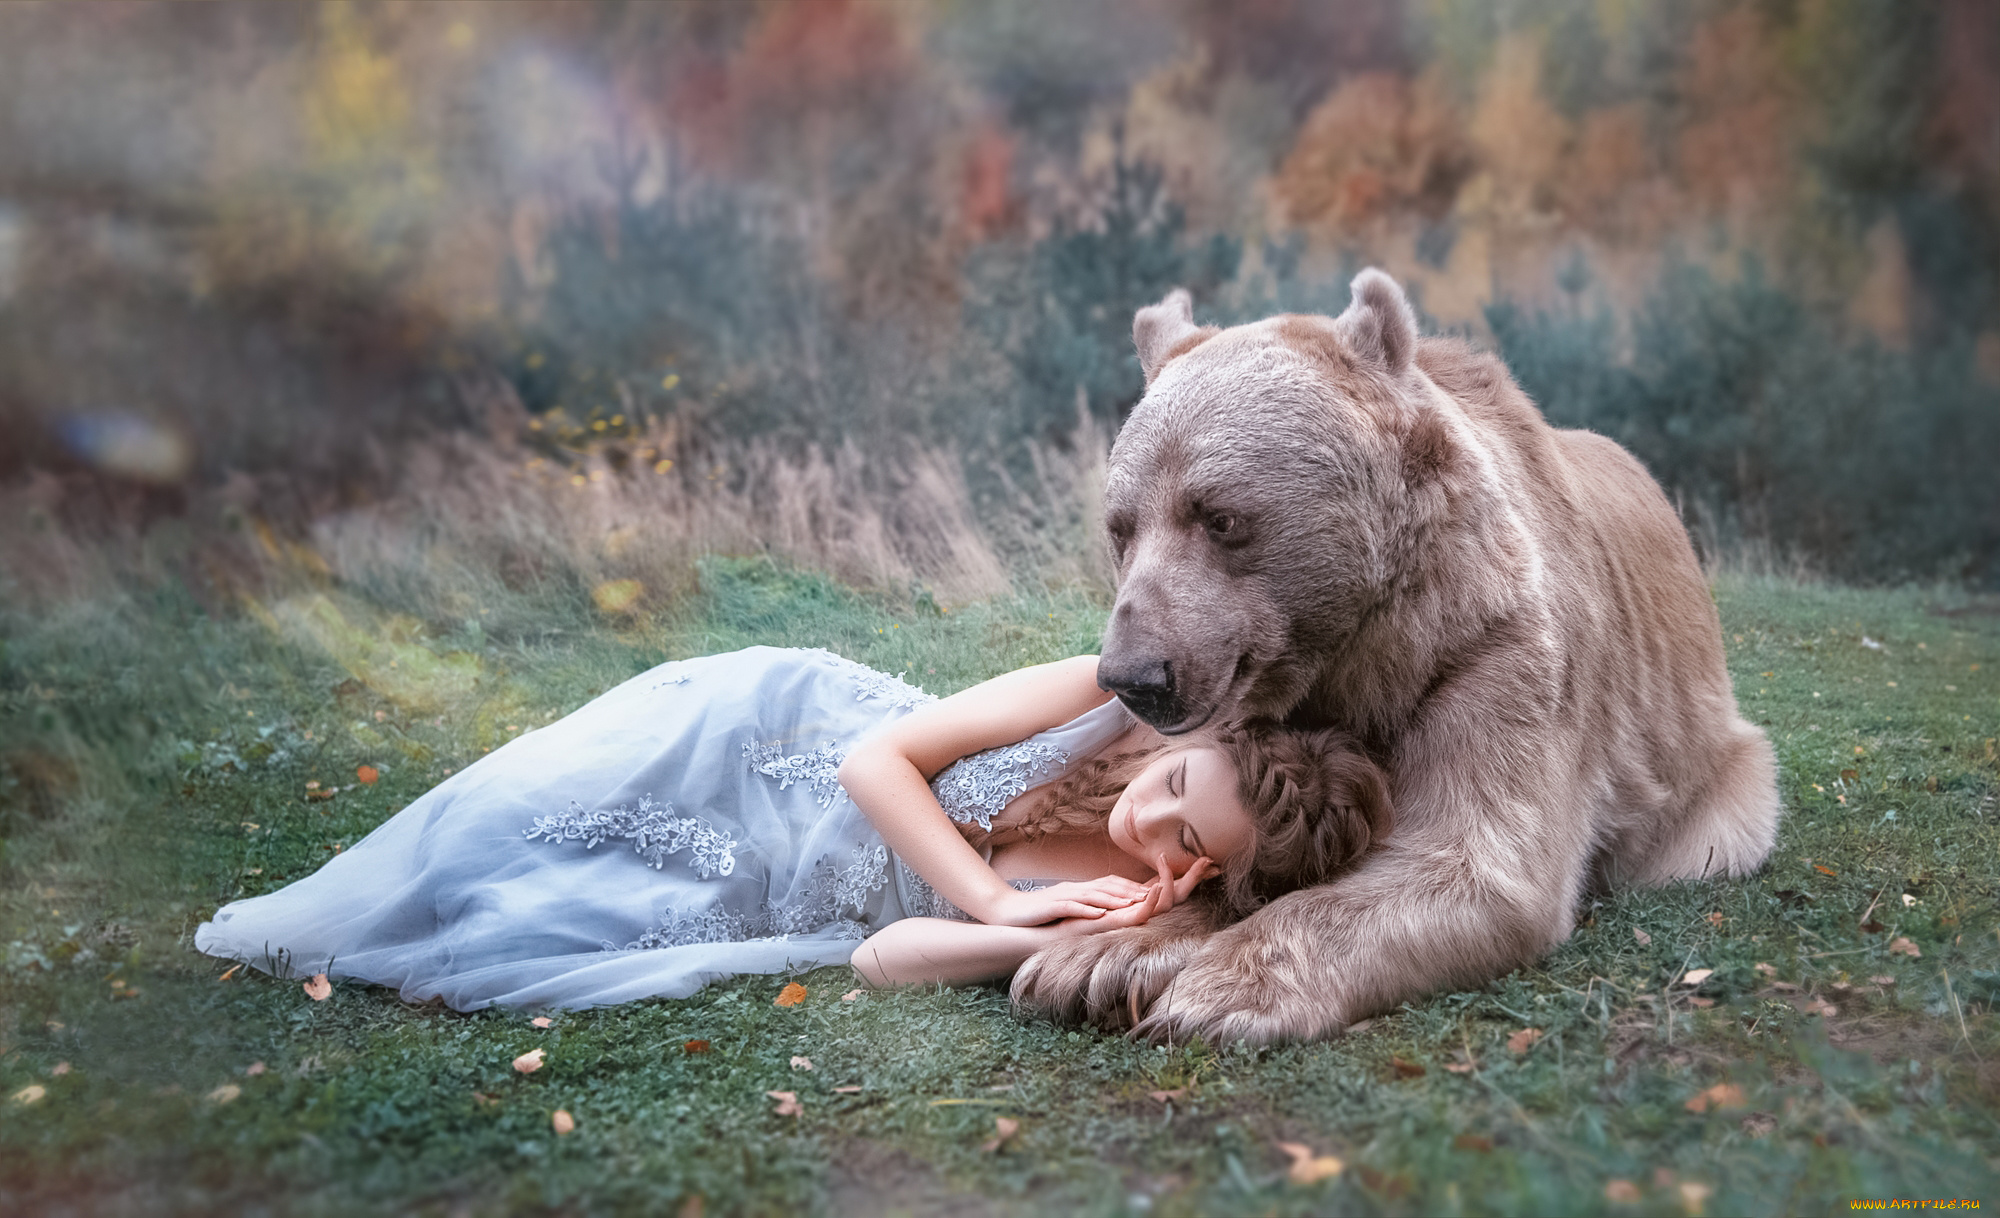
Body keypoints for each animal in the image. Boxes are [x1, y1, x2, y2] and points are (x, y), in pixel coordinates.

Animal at [1010, 268, 1781, 1044]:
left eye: (1220, 517)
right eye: (1121, 527)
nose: (1136, 675)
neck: (1364, 653)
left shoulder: (1492, 655)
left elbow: (1475, 865)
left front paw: (1219, 990)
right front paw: (1092, 961)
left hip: (1715, 776)